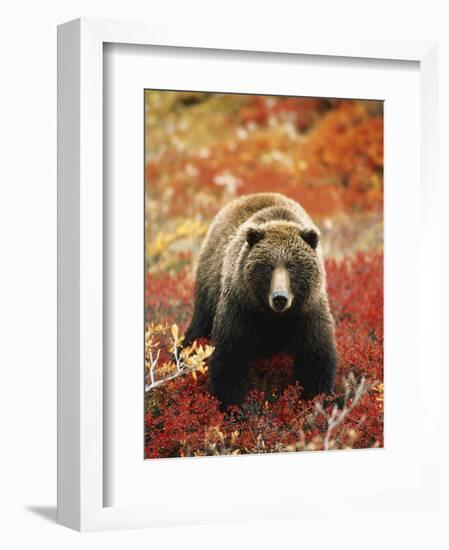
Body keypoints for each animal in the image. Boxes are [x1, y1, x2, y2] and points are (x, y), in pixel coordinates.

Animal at [183, 192, 336, 412]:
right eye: (268, 266)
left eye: (292, 266)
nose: (280, 298)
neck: (273, 317)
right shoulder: (241, 308)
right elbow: (230, 356)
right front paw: (231, 406)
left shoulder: (307, 312)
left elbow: (315, 357)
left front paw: (315, 401)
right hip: (209, 286)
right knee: (199, 326)